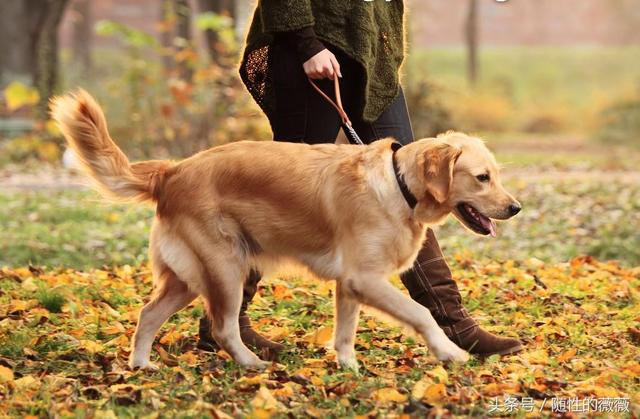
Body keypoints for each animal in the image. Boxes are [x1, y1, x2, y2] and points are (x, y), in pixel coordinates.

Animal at [50, 91, 520, 370]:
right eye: (482, 178)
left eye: (496, 175)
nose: (515, 208)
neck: (399, 184)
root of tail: (172, 171)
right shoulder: (363, 277)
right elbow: (421, 313)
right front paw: (450, 351)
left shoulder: (349, 285)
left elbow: (345, 333)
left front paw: (347, 368)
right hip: (224, 266)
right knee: (222, 327)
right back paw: (252, 365)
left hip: (189, 275)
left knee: (149, 313)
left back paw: (142, 366)